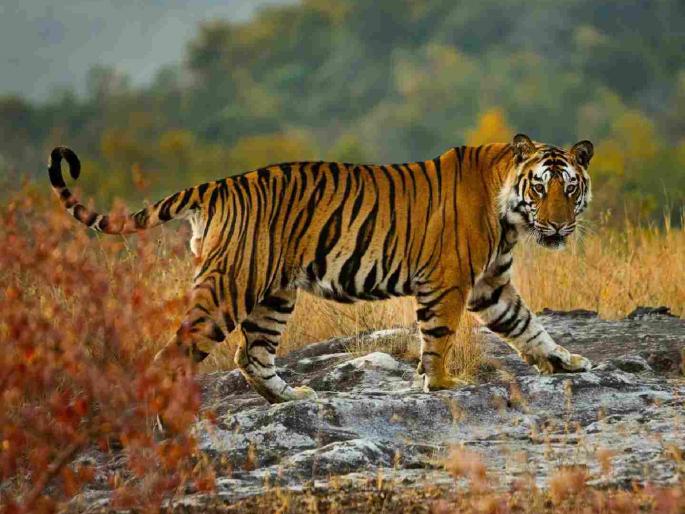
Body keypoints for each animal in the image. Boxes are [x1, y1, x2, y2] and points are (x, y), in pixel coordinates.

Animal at [48, 133, 594, 403]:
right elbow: (438, 337)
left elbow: (527, 325)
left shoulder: (489, 284)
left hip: (273, 294)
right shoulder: (449, 281)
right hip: (229, 287)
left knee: (252, 355)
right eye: (540, 188)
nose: (558, 226)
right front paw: (440, 385)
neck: (510, 215)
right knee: (175, 354)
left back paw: (291, 397)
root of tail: (218, 185)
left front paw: (564, 361)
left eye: (570, 189)